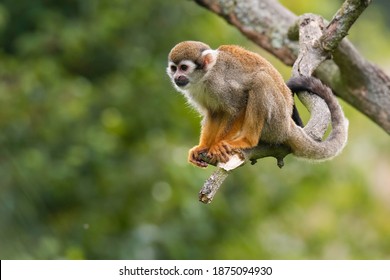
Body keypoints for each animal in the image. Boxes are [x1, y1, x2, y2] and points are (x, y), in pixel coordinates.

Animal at [166, 40, 348, 167]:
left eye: (184, 67)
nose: (177, 77)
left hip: (275, 121)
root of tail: (288, 126)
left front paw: (216, 146)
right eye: (174, 68)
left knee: (261, 80)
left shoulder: (220, 83)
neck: (204, 78)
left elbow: (238, 105)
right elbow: (215, 113)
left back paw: (248, 140)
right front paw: (203, 147)